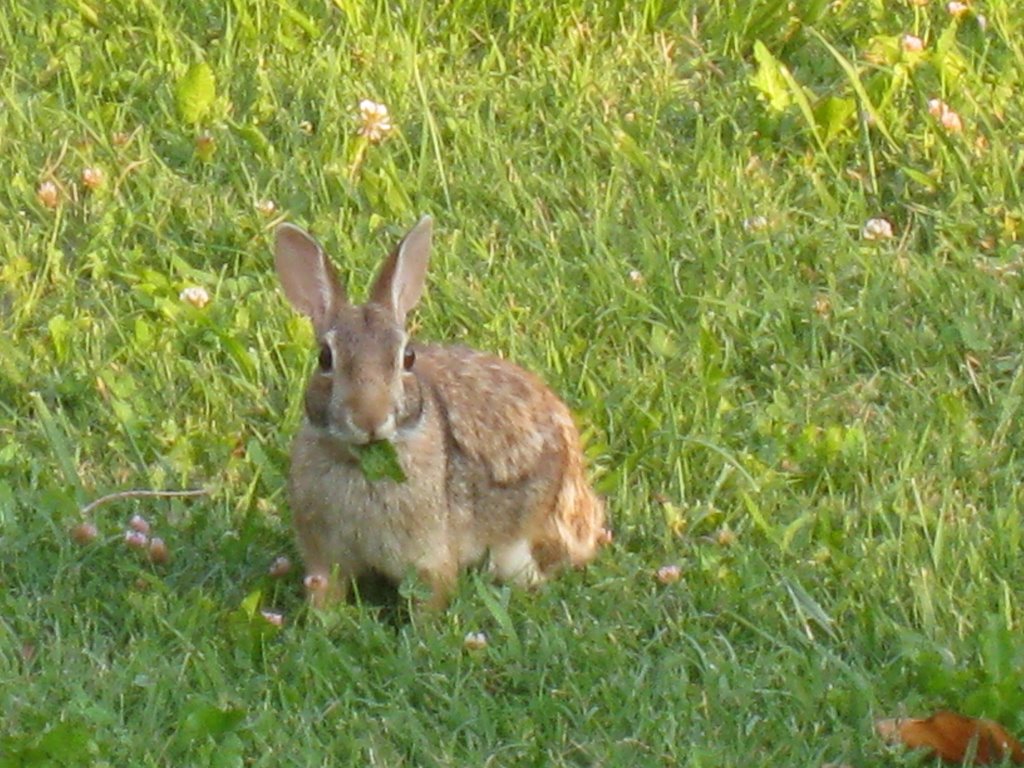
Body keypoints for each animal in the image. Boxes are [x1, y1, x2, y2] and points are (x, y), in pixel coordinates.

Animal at [274, 218, 606, 614]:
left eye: (408, 358)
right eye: (325, 358)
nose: (370, 419)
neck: (364, 463)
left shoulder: (429, 557)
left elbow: (431, 596)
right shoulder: (324, 559)